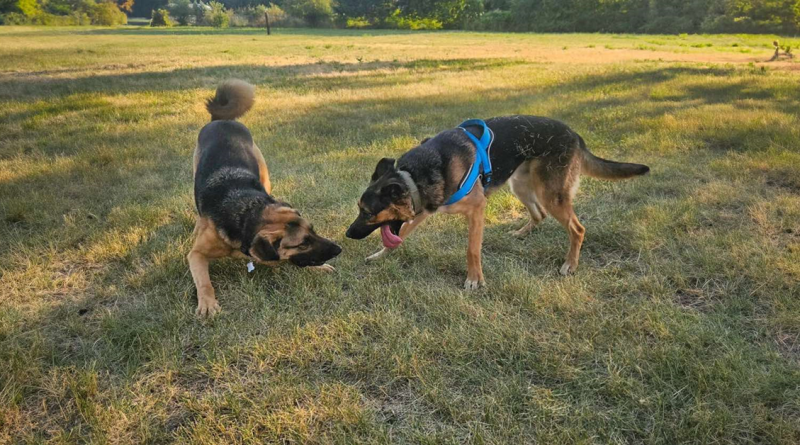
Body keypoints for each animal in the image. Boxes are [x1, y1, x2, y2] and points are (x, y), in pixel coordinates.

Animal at [193, 80, 344, 316]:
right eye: (303, 243)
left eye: (313, 230)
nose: (339, 249)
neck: (247, 213)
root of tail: (221, 119)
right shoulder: (196, 254)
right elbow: (203, 281)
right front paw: (207, 303)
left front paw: (319, 267)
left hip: (264, 171)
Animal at [346, 114, 648, 288]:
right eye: (360, 210)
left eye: (367, 213)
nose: (347, 234)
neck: (413, 177)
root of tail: (575, 136)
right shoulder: (424, 210)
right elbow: (401, 236)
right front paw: (380, 255)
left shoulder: (476, 209)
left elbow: (472, 249)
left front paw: (473, 280)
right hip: (521, 186)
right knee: (539, 215)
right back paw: (522, 233)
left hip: (551, 195)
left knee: (577, 228)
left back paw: (570, 265)